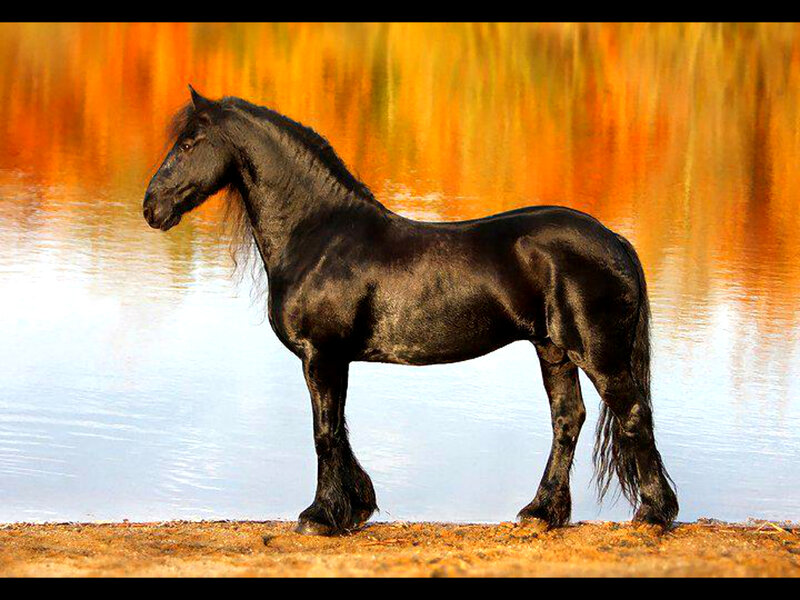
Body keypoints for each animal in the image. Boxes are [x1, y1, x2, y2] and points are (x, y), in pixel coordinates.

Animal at [143, 86, 678, 535]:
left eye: (189, 143)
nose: (151, 208)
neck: (320, 234)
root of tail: (615, 241)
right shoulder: (333, 360)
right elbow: (339, 427)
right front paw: (356, 507)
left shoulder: (321, 355)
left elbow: (323, 431)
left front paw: (320, 517)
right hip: (553, 351)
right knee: (568, 419)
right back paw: (541, 513)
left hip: (597, 353)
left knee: (633, 413)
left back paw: (654, 514)